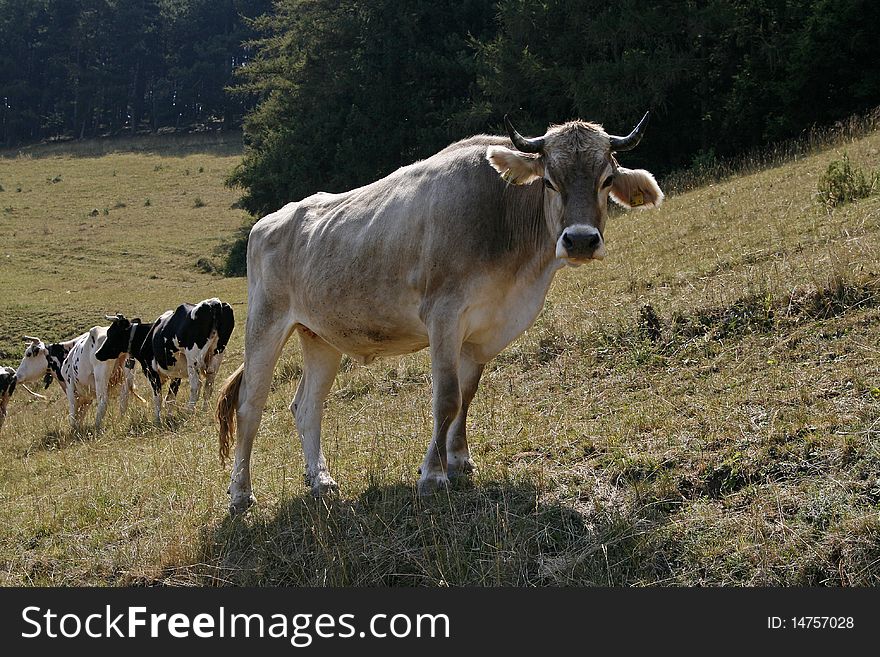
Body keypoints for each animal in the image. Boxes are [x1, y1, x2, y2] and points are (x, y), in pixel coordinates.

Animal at [96, 298, 234, 420]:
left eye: (111, 333)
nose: (98, 354)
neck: (147, 336)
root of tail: (214, 303)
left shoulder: (151, 371)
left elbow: (158, 398)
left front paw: (157, 420)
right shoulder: (176, 373)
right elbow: (170, 399)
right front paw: (169, 417)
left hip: (193, 360)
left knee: (196, 385)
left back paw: (190, 411)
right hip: (216, 356)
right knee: (208, 385)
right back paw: (204, 411)